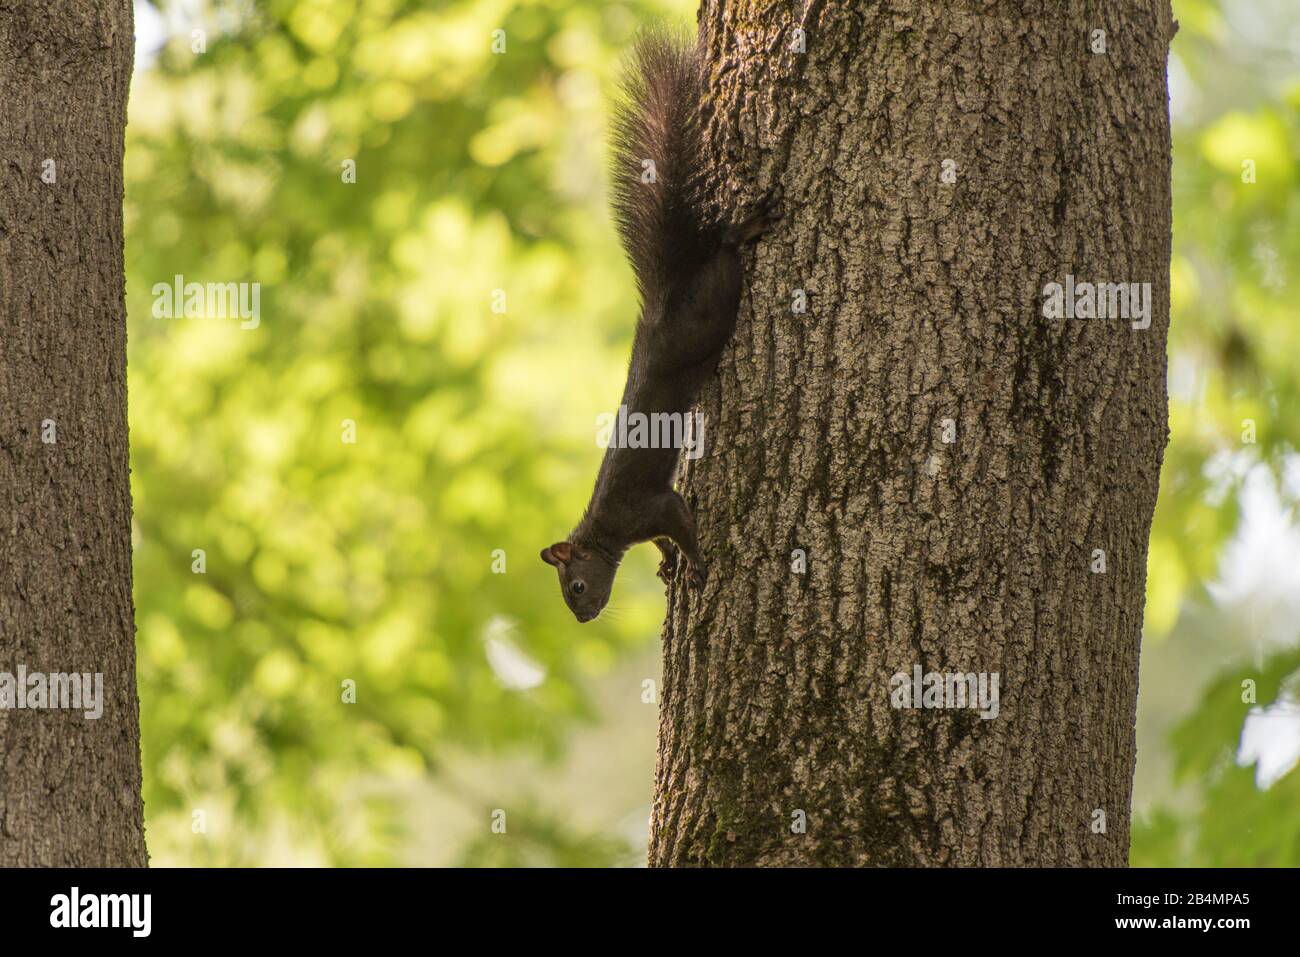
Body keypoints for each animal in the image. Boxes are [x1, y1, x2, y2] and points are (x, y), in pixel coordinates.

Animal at [540, 27, 774, 621]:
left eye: (576, 587)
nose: (583, 617)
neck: (603, 532)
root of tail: (661, 307)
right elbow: (665, 540)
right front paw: (669, 564)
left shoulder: (648, 507)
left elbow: (681, 525)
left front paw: (695, 563)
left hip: (710, 312)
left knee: (726, 253)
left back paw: (746, 227)